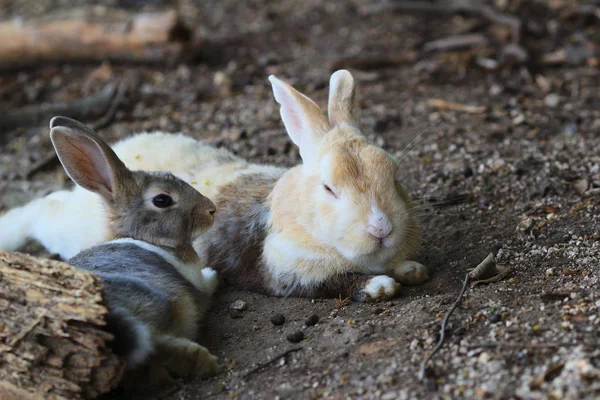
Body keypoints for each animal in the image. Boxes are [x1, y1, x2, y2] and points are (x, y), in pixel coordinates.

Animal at [49, 116, 220, 388]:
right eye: (162, 200)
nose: (211, 209)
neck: (143, 237)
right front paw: (213, 274)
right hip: (155, 302)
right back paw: (205, 363)